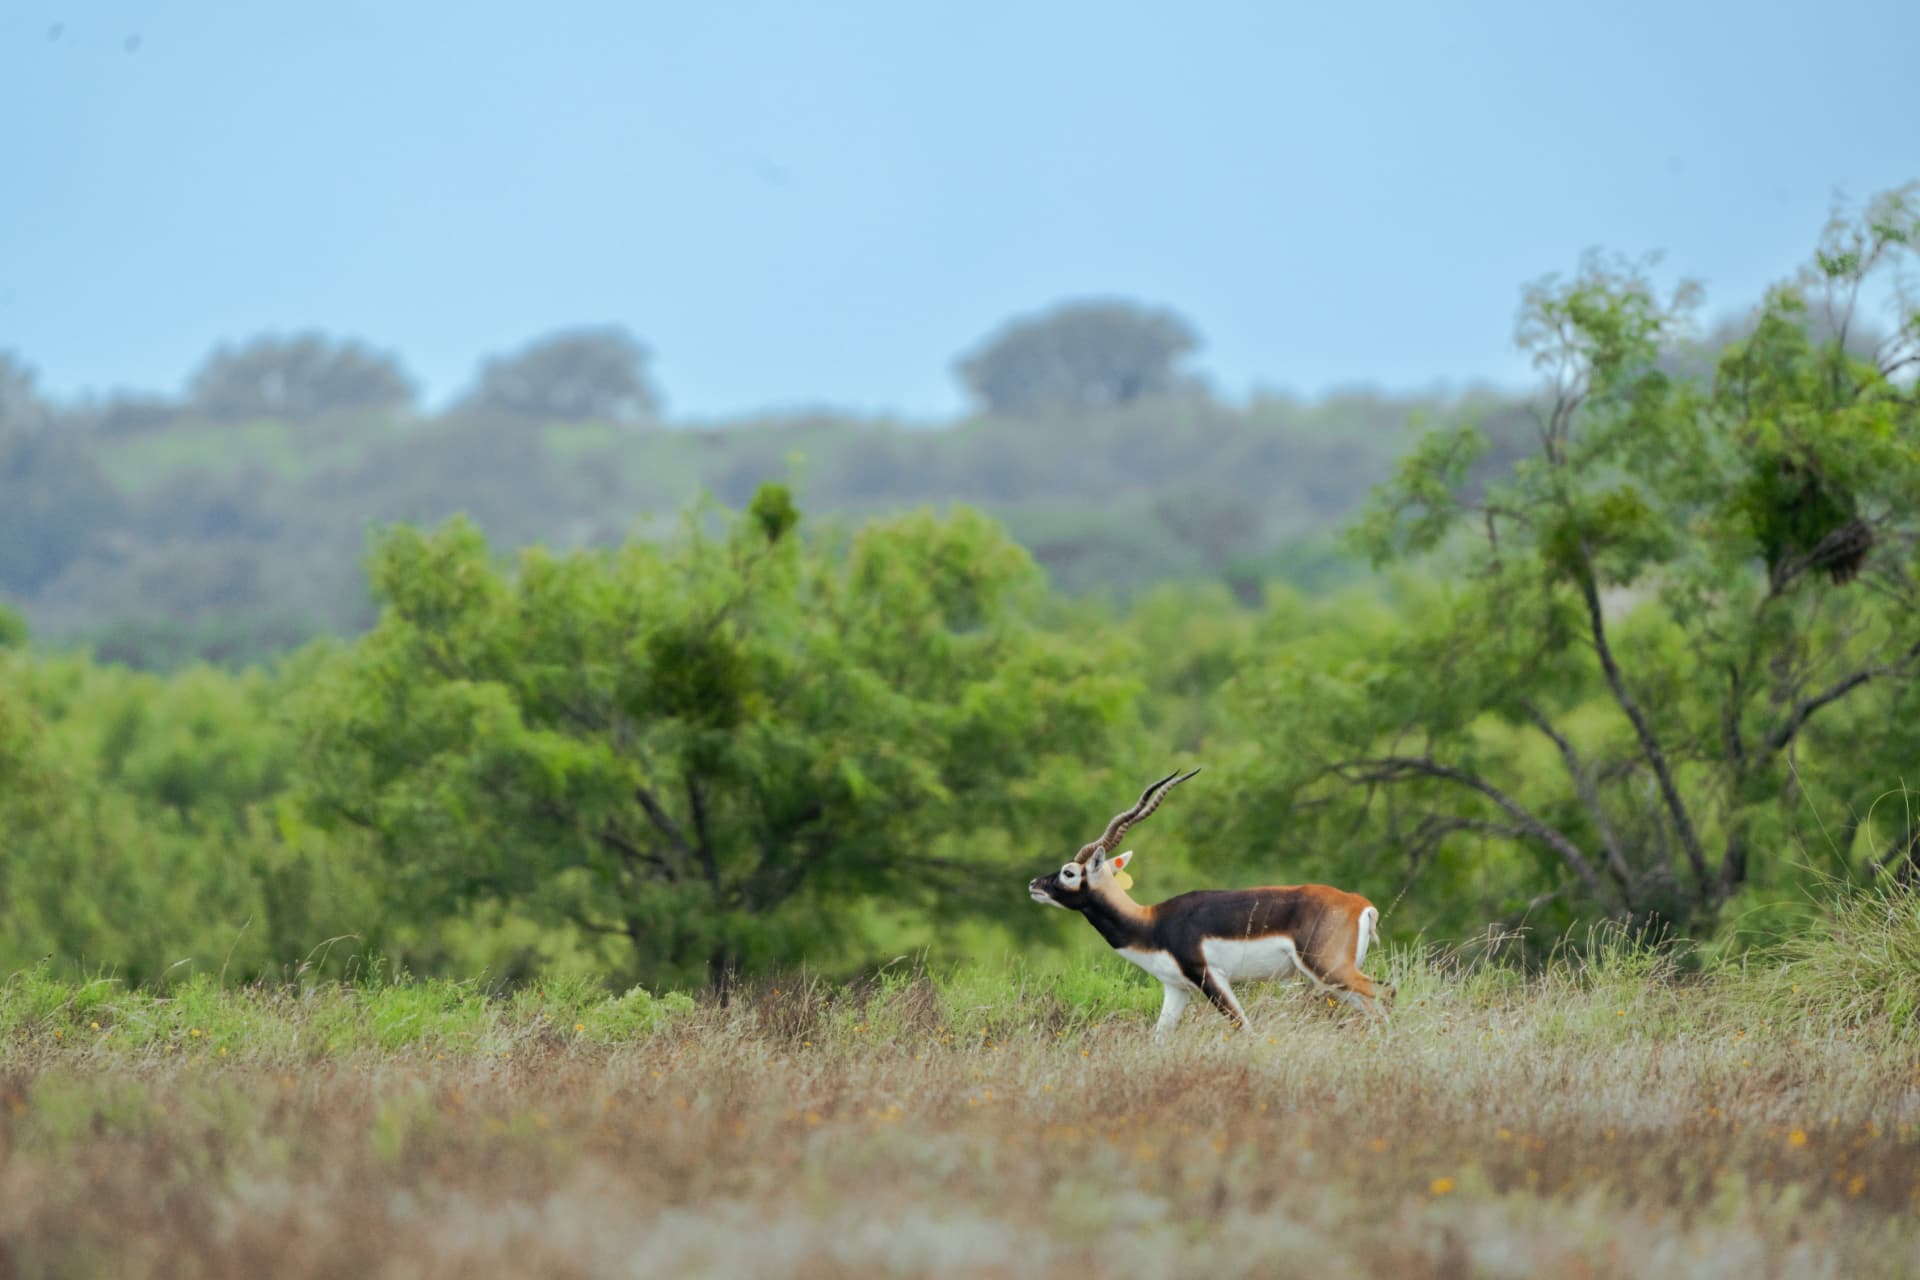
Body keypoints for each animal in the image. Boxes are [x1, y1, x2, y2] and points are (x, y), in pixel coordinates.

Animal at [1028, 768, 1392, 1037]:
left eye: (1069, 872)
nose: (1034, 885)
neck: (1151, 923)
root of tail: (1360, 904)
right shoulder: (1176, 989)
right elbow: (1159, 1038)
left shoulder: (1210, 976)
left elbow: (1244, 1028)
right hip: (1334, 980)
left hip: (1329, 970)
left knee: (1386, 993)